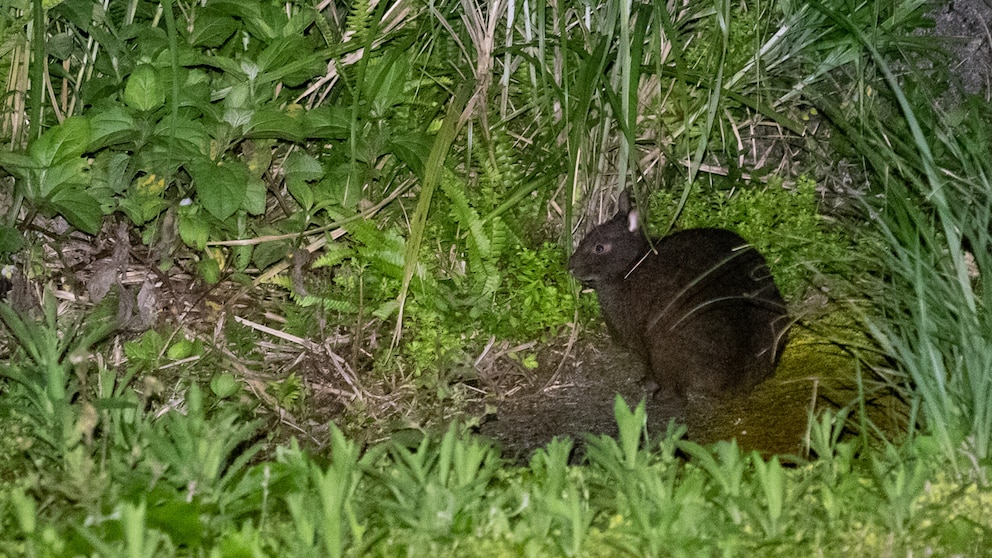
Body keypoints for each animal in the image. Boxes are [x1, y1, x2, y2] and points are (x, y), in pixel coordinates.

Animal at [568, 195, 788, 404]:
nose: (570, 266)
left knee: (675, 390)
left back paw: (658, 395)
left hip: (662, 346)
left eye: (599, 248)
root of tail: (734, 378)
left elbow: (649, 368)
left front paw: (645, 384)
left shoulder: (642, 343)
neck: (631, 264)